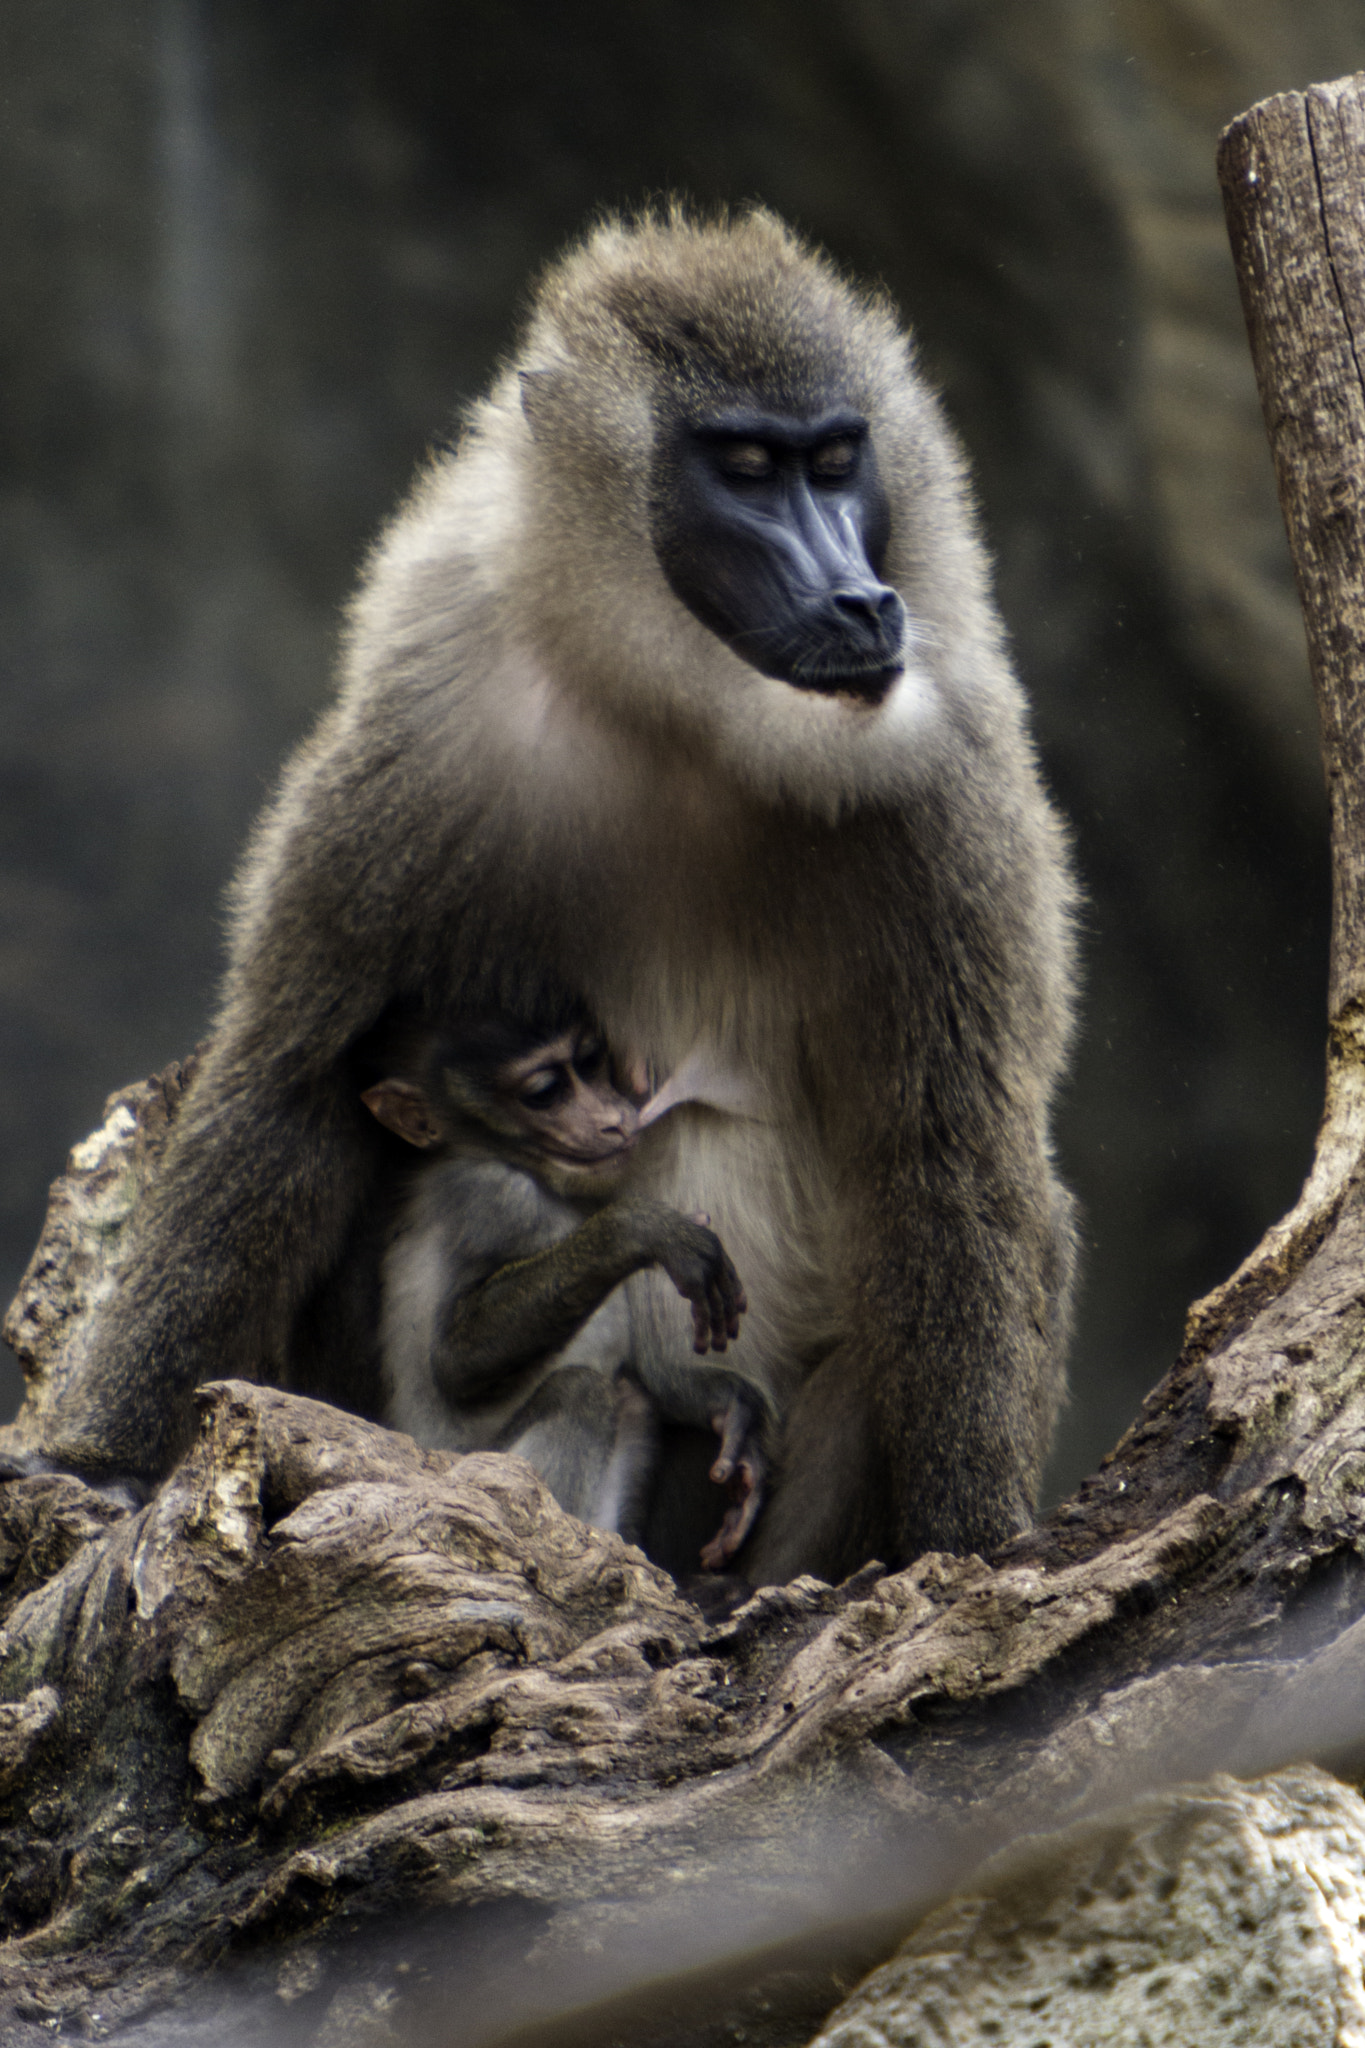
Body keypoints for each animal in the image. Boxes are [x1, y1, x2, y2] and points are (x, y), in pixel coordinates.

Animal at [362, 1011, 769, 1564]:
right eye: (546, 1092)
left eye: (590, 1062)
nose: (614, 1119)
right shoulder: (495, 1198)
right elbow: (455, 1361)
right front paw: (637, 1230)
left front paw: (731, 1414)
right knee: (580, 1391)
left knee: (631, 1397)